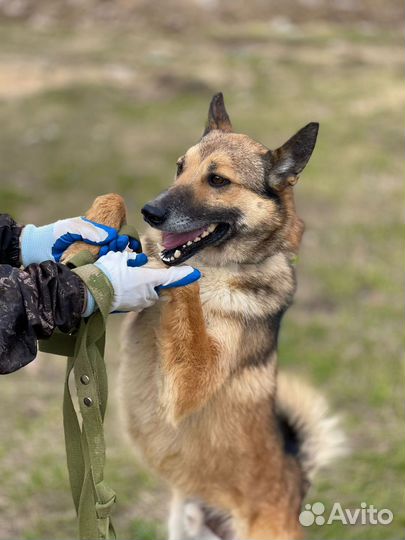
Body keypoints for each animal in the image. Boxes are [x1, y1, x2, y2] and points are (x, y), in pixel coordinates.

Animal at [117, 94, 344, 540]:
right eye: (179, 168)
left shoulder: (192, 380)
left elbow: (185, 285)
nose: (149, 212)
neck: (223, 268)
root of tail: (299, 483)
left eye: (218, 180)